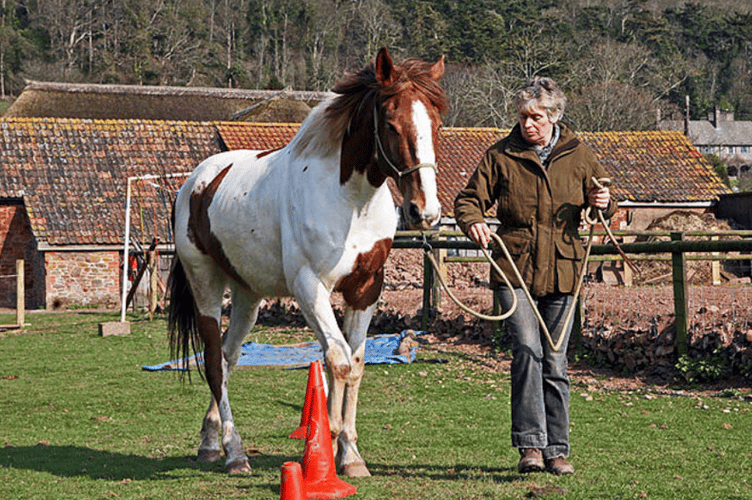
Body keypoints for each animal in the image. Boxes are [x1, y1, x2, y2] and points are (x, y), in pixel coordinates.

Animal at [167, 47, 444, 476]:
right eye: (392, 124)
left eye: (437, 124)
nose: (424, 212)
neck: (350, 201)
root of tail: (195, 183)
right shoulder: (309, 286)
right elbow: (337, 359)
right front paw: (330, 441)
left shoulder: (366, 288)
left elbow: (356, 363)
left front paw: (350, 454)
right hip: (205, 285)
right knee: (213, 361)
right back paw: (235, 452)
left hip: (248, 296)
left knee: (229, 358)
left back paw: (211, 442)